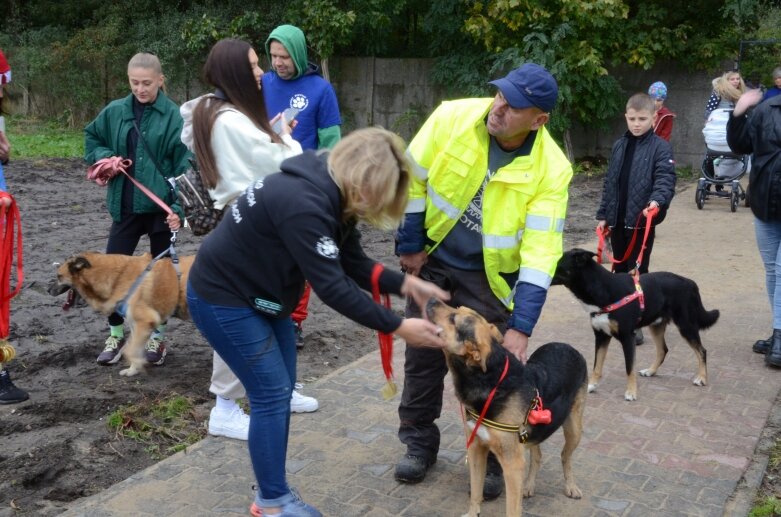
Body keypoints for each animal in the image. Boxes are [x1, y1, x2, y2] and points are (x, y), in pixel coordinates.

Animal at [47, 252, 195, 376]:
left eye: (59, 276)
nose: (48, 290)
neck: (118, 278)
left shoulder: (144, 322)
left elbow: (130, 351)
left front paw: (137, 366)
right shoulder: (137, 326)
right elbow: (132, 348)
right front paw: (133, 370)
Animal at [426, 296, 584, 516]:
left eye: (453, 318)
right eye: (457, 308)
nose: (431, 297)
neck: (492, 382)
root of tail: (565, 345)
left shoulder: (512, 464)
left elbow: (512, 509)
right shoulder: (476, 448)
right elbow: (476, 491)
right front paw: (472, 513)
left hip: (573, 429)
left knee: (565, 456)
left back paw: (571, 486)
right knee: (537, 455)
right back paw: (529, 486)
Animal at [548, 248, 720, 402]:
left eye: (556, 264)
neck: (603, 290)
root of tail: (690, 283)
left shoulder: (627, 337)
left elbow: (629, 368)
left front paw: (631, 393)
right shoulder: (601, 336)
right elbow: (596, 366)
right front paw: (591, 385)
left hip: (686, 325)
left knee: (701, 351)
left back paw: (701, 378)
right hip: (656, 325)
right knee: (663, 350)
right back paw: (650, 371)